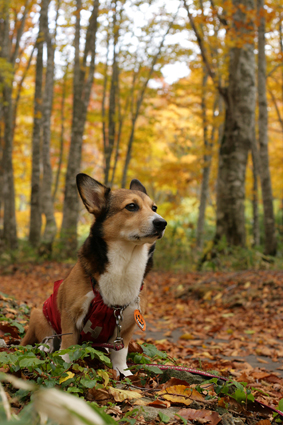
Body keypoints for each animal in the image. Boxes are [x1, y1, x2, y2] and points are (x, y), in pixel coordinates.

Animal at [22, 172, 169, 374]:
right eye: (131, 206)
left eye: (154, 207)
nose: (162, 223)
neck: (125, 261)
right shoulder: (71, 313)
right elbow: (68, 343)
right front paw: (63, 364)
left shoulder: (126, 323)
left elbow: (121, 352)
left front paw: (123, 372)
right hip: (40, 313)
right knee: (48, 338)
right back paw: (46, 347)